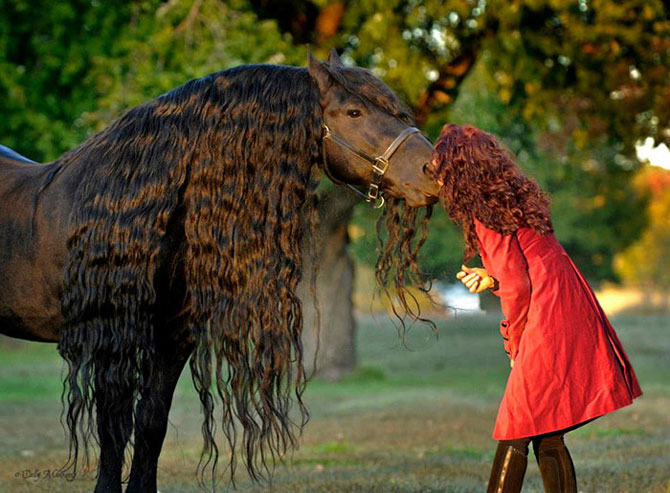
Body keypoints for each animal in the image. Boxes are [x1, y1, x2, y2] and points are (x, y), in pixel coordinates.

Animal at [0, 52, 440, 490]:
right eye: (353, 111)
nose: (433, 169)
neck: (137, 204)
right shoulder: (113, 337)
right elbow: (113, 431)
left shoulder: (173, 337)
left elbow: (150, 425)